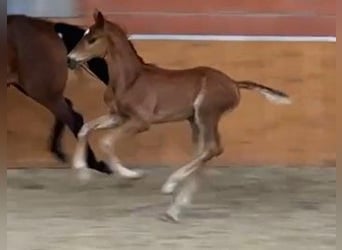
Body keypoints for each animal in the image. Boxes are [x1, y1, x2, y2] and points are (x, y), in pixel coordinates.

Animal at [67, 9, 292, 221]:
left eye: (92, 39)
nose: (70, 60)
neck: (131, 80)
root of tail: (234, 84)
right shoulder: (118, 117)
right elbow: (85, 129)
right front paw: (82, 171)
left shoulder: (141, 121)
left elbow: (106, 141)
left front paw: (131, 175)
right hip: (195, 121)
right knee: (204, 152)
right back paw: (174, 209)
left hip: (206, 113)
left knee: (212, 148)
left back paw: (171, 185)